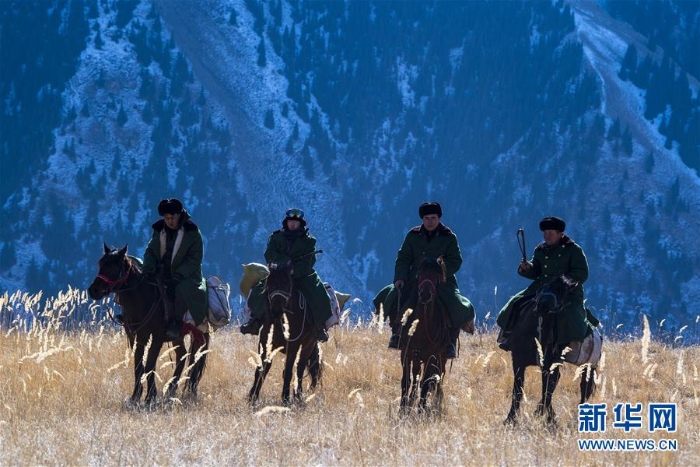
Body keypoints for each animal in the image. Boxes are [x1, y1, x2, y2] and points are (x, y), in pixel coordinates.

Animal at [87, 245, 209, 406]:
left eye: (113, 267)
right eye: (100, 264)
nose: (93, 290)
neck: (143, 299)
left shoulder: (157, 337)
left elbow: (150, 364)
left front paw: (150, 396)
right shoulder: (138, 337)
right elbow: (139, 364)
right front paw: (135, 396)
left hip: (199, 333)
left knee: (196, 357)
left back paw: (190, 391)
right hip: (178, 337)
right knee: (182, 355)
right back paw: (171, 389)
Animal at [247, 262, 322, 408]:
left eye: (287, 283)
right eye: (269, 283)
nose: (276, 310)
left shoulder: (293, 345)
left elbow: (288, 372)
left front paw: (286, 398)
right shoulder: (265, 344)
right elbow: (261, 370)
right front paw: (252, 397)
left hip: (308, 345)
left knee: (300, 368)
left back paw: (298, 395)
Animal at [396, 256, 452, 416]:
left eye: (437, 275)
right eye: (420, 272)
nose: (425, 295)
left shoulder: (430, 356)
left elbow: (426, 383)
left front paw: (420, 409)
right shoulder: (406, 353)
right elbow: (406, 380)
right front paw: (403, 407)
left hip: (441, 356)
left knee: (438, 376)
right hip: (416, 356)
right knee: (416, 377)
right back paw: (412, 399)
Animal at [506, 278, 600, 428]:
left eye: (563, 292)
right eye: (543, 285)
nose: (543, 304)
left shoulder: (549, 364)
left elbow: (546, 391)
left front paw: (551, 420)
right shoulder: (518, 361)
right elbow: (518, 390)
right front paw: (510, 419)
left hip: (587, 364)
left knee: (583, 388)